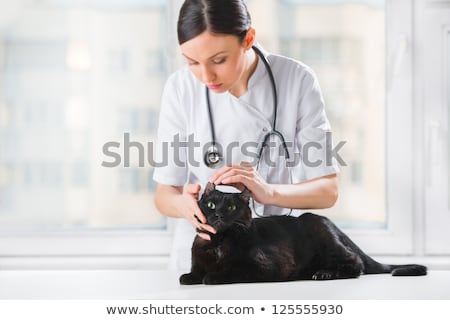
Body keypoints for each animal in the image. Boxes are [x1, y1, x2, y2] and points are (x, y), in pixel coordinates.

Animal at [178, 182, 426, 284]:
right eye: (211, 205)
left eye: (230, 207)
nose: (219, 215)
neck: (217, 242)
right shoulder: (197, 260)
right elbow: (189, 275)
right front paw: (190, 277)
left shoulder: (266, 266)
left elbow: (232, 271)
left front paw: (212, 277)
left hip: (319, 229)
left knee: (357, 263)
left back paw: (324, 274)